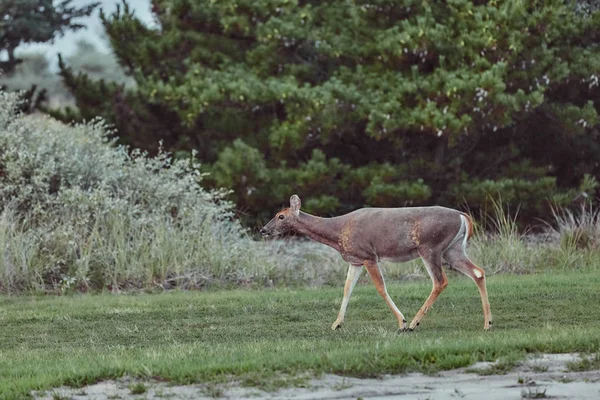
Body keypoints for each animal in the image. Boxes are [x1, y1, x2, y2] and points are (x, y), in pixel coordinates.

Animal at [262, 195, 492, 332]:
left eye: (280, 216)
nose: (263, 230)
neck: (338, 231)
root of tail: (463, 216)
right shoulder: (355, 260)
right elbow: (346, 290)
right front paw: (336, 324)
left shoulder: (368, 255)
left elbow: (380, 288)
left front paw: (401, 322)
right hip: (453, 249)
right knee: (478, 272)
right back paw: (488, 323)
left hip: (431, 247)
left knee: (440, 281)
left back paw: (414, 323)